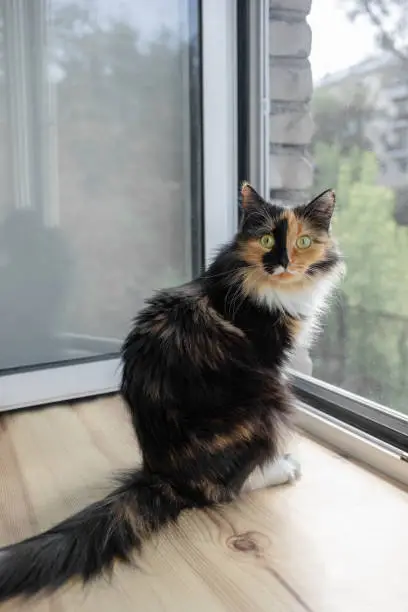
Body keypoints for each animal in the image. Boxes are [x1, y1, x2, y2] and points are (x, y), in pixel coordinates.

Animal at [0, 182, 342, 604]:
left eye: (303, 241)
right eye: (265, 239)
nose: (283, 263)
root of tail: (163, 474)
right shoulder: (272, 362)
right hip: (270, 402)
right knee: (222, 491)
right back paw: (282, 469)